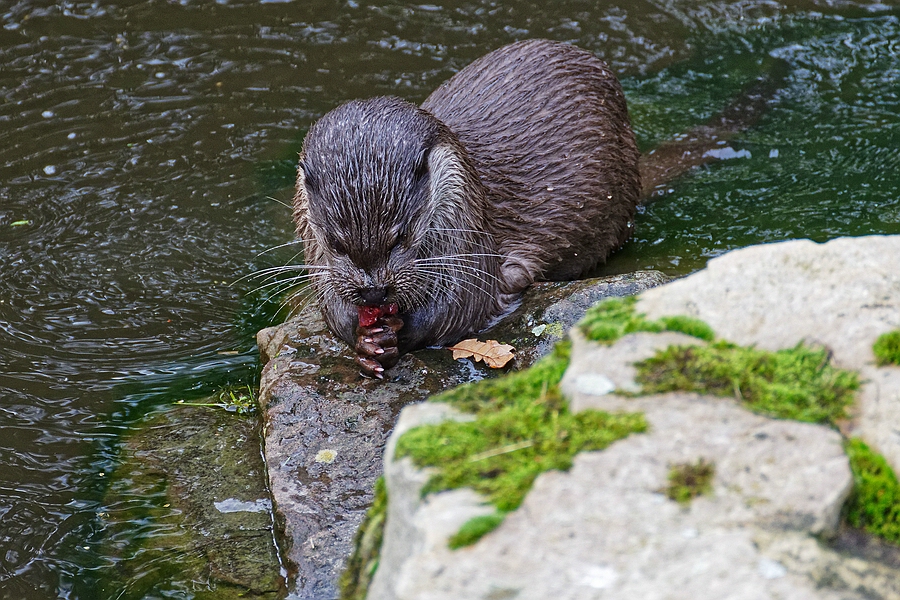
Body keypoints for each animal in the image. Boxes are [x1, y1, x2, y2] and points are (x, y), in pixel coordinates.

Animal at [293, 39, 641, 377]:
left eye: (400, 238)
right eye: (336, 244)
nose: (374, 293)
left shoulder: (469, 235)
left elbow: (459, 307)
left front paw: (397, 334)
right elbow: (331, 307)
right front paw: (364, 341)